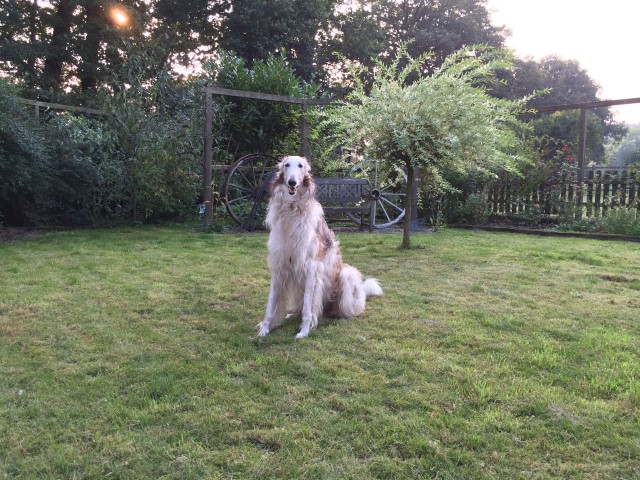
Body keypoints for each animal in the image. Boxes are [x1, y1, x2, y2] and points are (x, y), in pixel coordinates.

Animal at [257, 156, 383, 338]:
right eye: (286, 165)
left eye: (301, 166)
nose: (292, 182)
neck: (292, 209)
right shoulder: (279, 264)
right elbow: (271, 304)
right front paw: (264, 329)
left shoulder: (311, 267)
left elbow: (308, 309)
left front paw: (303, 331)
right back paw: (291, 314)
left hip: (346, 274)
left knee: (351, 307)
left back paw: (341, 315)